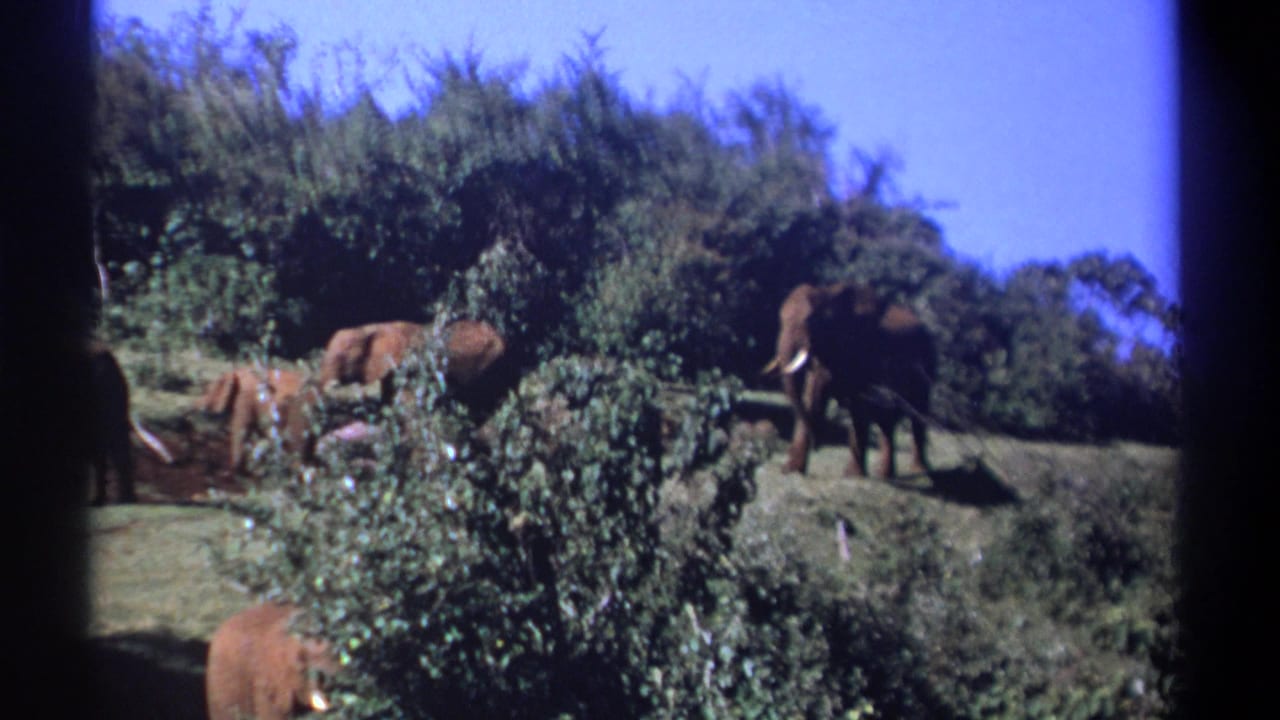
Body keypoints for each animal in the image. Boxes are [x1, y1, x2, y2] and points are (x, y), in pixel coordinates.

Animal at [762, 282, 936, 478]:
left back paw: (919, 470)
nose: (818, 445)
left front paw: (853, 475)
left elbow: (857, 403)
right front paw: (790, 470)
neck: (828, 294)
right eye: (780, 320)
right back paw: (884, 475)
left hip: (927, 364)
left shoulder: (860, 347)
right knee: (887, 421)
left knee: (917, 414)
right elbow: (813, 395)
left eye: (808, 321)